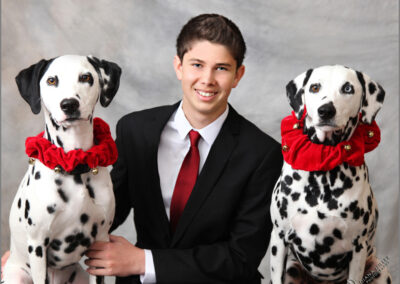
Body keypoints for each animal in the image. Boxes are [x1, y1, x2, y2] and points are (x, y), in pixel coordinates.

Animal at [3, 54, 121, 282]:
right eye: (51, 80)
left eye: (86, 77)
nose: (69, 104)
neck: (74, 162)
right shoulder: (38, 245)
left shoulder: (101, 243)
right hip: (17, 276)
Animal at [268, 65, 390, 282]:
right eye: (315, 87)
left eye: (348, 88)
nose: (325, 111)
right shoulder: (279, 239)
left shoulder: (358, 249)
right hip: (291, 268)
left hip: (379, 271)